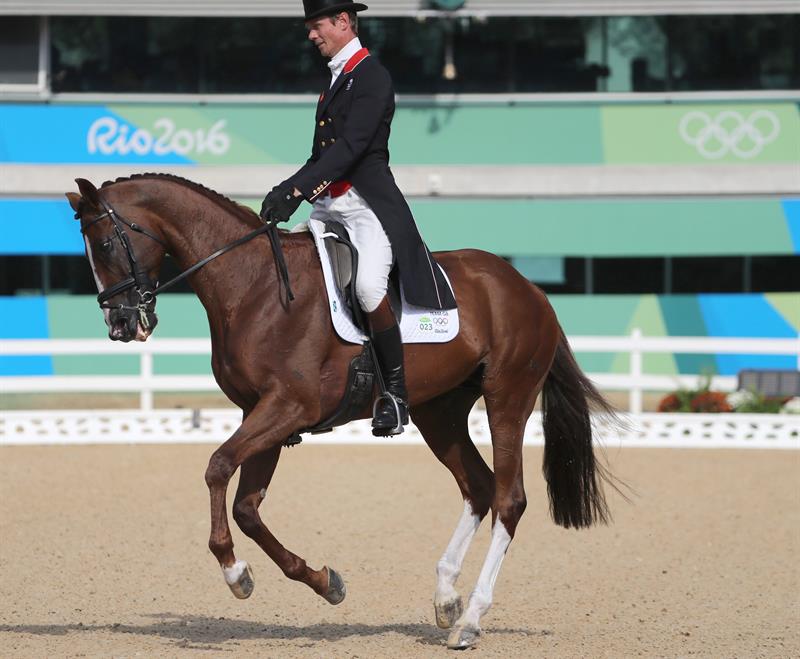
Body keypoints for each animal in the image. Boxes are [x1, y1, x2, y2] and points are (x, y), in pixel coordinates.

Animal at [69, 173, 616, 652]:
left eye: (107, 244)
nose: (121, 325)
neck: (252, 285)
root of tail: (528, 287)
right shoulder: (261, 413)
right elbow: (247, 507)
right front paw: (322, 581)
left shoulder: (287, 406)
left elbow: (218, 468)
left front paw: (234, 572)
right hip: (439, 412)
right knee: (477, 487)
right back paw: (446, 600)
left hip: (507, 398)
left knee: (509, 499)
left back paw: (471, 622)